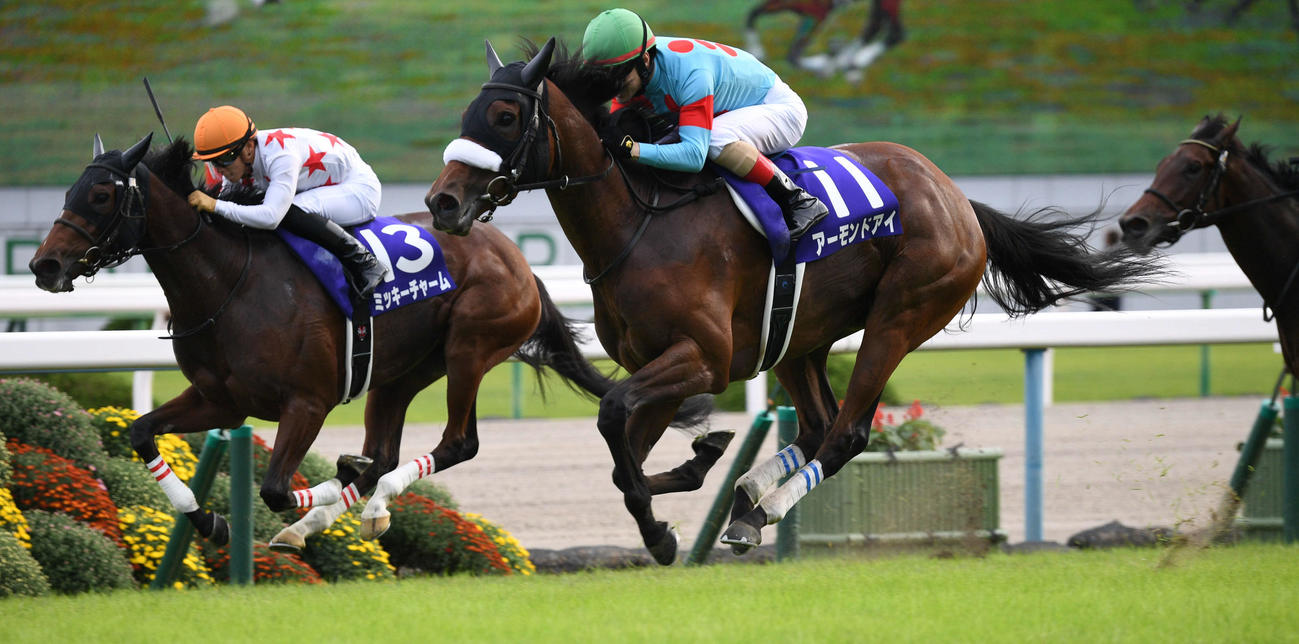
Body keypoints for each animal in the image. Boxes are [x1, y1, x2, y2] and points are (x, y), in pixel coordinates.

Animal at [27, 134, 710, 551]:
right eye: (69, 190)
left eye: (102, 193)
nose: (44, 266)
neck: (229, 282)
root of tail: (515, 257)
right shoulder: (220, 398)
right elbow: (144, 432)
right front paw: (211, 520)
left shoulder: (307, 401)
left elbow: (276, 487)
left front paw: (327, 488)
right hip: (400, 372)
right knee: (386, 448)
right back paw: (344, 508)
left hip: (471, 346)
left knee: (455, 442)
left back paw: (366, 502)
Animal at [423, 38, 1165, 564]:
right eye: (466, 112)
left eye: (505, 115)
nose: (442, 202)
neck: (641, 221)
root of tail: (957, 198)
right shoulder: (659, 364)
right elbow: (623, 450)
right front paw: (698, 464)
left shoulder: (705, 358)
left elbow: (615, 424)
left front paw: (666, 526)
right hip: (797, 337)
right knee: (814, 426)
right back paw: (750, 494)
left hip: (901, 316)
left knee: (847, 433)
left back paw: (760, 511)